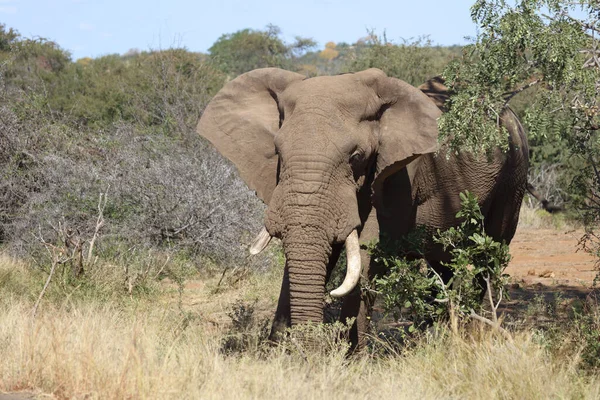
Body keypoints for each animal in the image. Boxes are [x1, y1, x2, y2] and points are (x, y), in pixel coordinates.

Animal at [195, 69, 528, 350]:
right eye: (277, 151)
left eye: (355, 156)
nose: (307, 353)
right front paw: (276, 354)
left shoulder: (397, 175)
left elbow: (368, 254)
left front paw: (351, 358)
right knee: (442, 264)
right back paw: (431, 338)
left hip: (515, 173)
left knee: (491, 254)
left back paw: (472, 334)